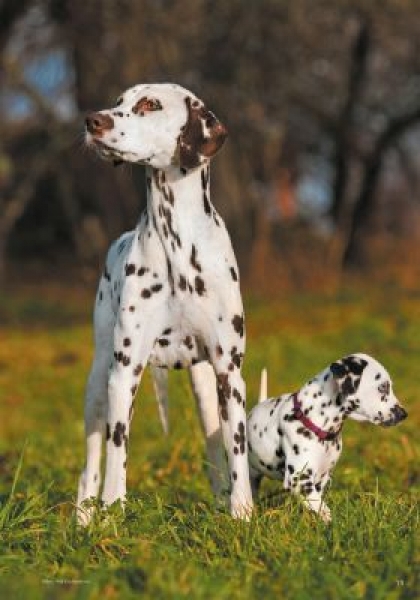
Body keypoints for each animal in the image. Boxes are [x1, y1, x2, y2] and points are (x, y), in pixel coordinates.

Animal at [76, 82, 253, 524]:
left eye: (150, 104)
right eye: (118, 103)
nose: (93, 121)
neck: (177, 245)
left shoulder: (230, 373)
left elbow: (237, 452)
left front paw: (243, 512)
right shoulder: (124, 373)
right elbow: (117, 454)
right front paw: (112, 515)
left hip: (206, 388)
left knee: (216, 451)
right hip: (98, 385)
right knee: (91, 464)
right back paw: (84, 517)